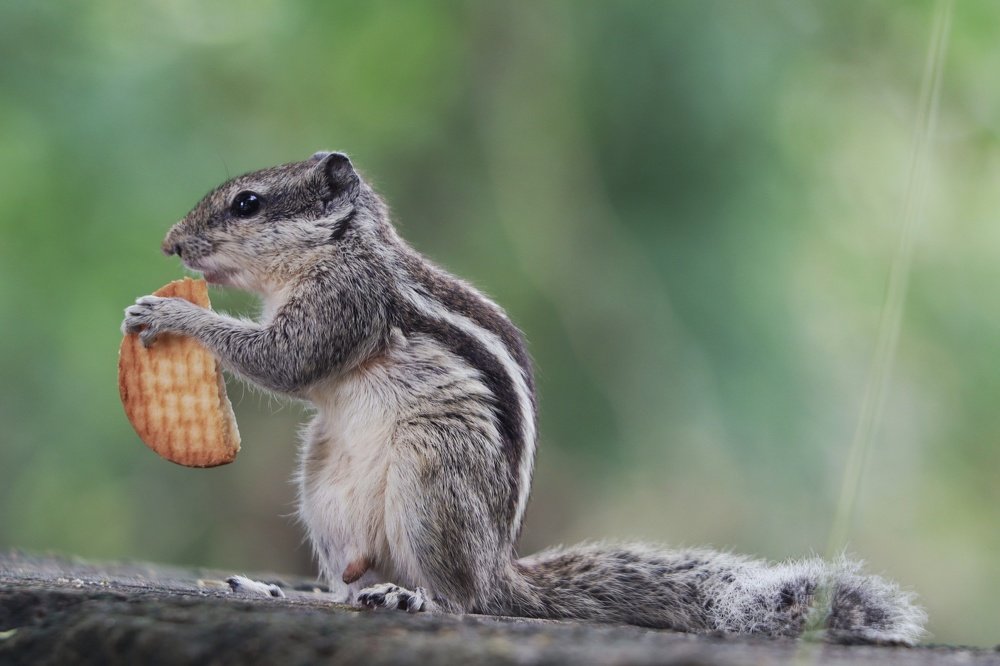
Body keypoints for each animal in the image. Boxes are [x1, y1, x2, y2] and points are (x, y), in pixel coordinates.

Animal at [122, 151, 926, 644]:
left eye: (247, 203)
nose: (168, 244)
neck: (341, 245)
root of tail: (496, 566)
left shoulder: (347, 301)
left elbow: (287, 361)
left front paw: (173, 315)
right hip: (322, 484)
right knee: (351, 584)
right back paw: (298, 593)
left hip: (434, 471)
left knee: (459, 599)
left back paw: (415, 598)